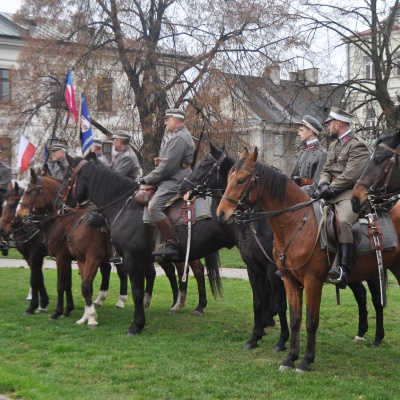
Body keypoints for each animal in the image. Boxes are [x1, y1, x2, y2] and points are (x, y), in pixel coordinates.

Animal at [217, 148, 400, 374]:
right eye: (228, 178)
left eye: (241, 180)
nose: (221, 213)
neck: (297, 223)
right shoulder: (288, 280)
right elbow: (295, 319)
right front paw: (290, 358)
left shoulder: (312, 281)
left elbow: (311, 321)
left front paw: (305, 361)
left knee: (376, 299)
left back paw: (377, 338)